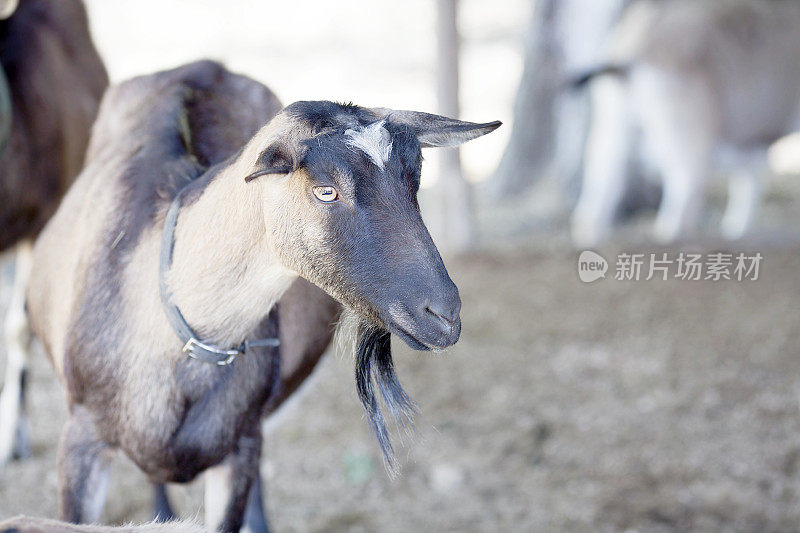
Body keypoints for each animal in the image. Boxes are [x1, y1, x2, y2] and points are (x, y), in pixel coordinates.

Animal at [568, 0, 800, 247]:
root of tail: (634, 51)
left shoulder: (753, 144)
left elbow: (750, 182)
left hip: (611, 132)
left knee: (593, 209)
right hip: (687, 145)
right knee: (680, 214)